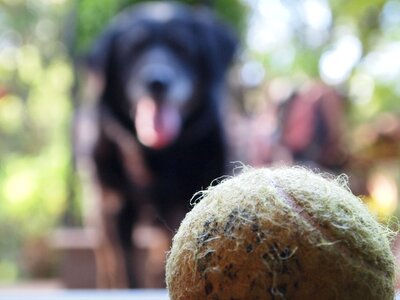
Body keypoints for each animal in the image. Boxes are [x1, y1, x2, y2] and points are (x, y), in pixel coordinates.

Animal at [76, 1, 234, 288]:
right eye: (132, 49)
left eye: (182, 47)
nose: (157, 82)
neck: (157, 156)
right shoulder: (115, 205)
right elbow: (124, 267)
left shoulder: (187, 197)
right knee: (106, 257)